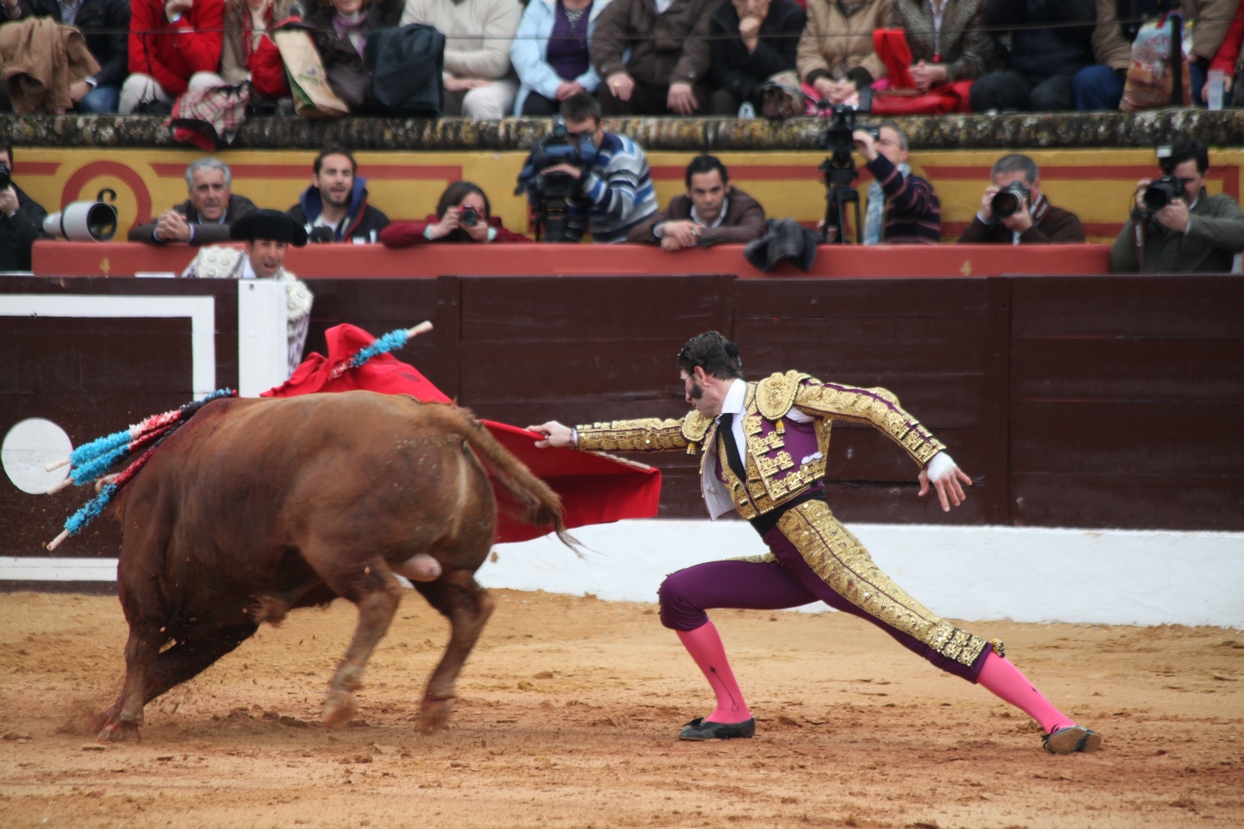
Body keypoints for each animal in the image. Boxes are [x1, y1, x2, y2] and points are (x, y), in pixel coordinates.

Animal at [99, 390, 567, 736]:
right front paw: (107, 716)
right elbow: (168, 667)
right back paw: (434, 703)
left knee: (381, 598)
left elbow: (141, 647)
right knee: (471, 609)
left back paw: (340, 697)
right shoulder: (226, 624)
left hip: (340, 551)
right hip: (444, 568)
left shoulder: (145, 577)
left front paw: (122, 722)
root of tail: (433, 418)